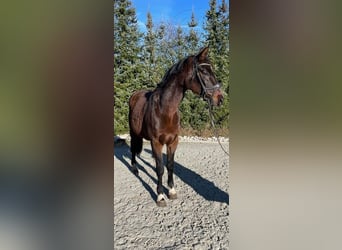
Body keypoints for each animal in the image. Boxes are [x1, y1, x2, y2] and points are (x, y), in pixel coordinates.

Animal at [130, 47, 223, 207]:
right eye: (203, 71)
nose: (220, 98)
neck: (165, 110)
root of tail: (134, 95)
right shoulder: (156, 142)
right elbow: (160, 168)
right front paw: (160, 196)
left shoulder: (173, 141)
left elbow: (170, 165)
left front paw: (172, 191)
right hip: (133, 133)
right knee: (132, 150)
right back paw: (135, 169)